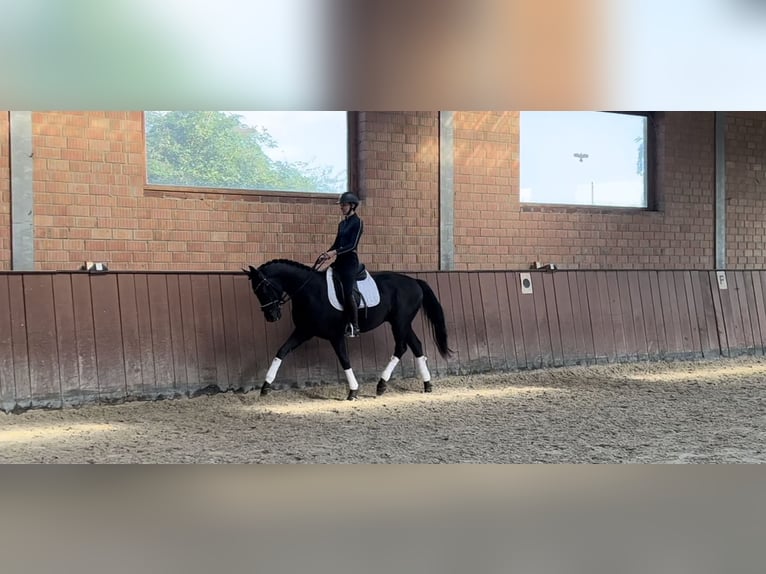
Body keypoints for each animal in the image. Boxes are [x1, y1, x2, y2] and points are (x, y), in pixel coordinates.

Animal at [246, 260, 452, 400]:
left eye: (263, 288)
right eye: (255, 291)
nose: (271, 316)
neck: (310, 291)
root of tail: (415, 282)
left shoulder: (335, 335)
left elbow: (344, 359)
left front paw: (353, 391)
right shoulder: (304, 330)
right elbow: (281, 351)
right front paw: (265, 386)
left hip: (400, 322)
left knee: (401, 347)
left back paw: (381, 384)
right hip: (402, 323)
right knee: (416, 345)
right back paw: (426, 384)